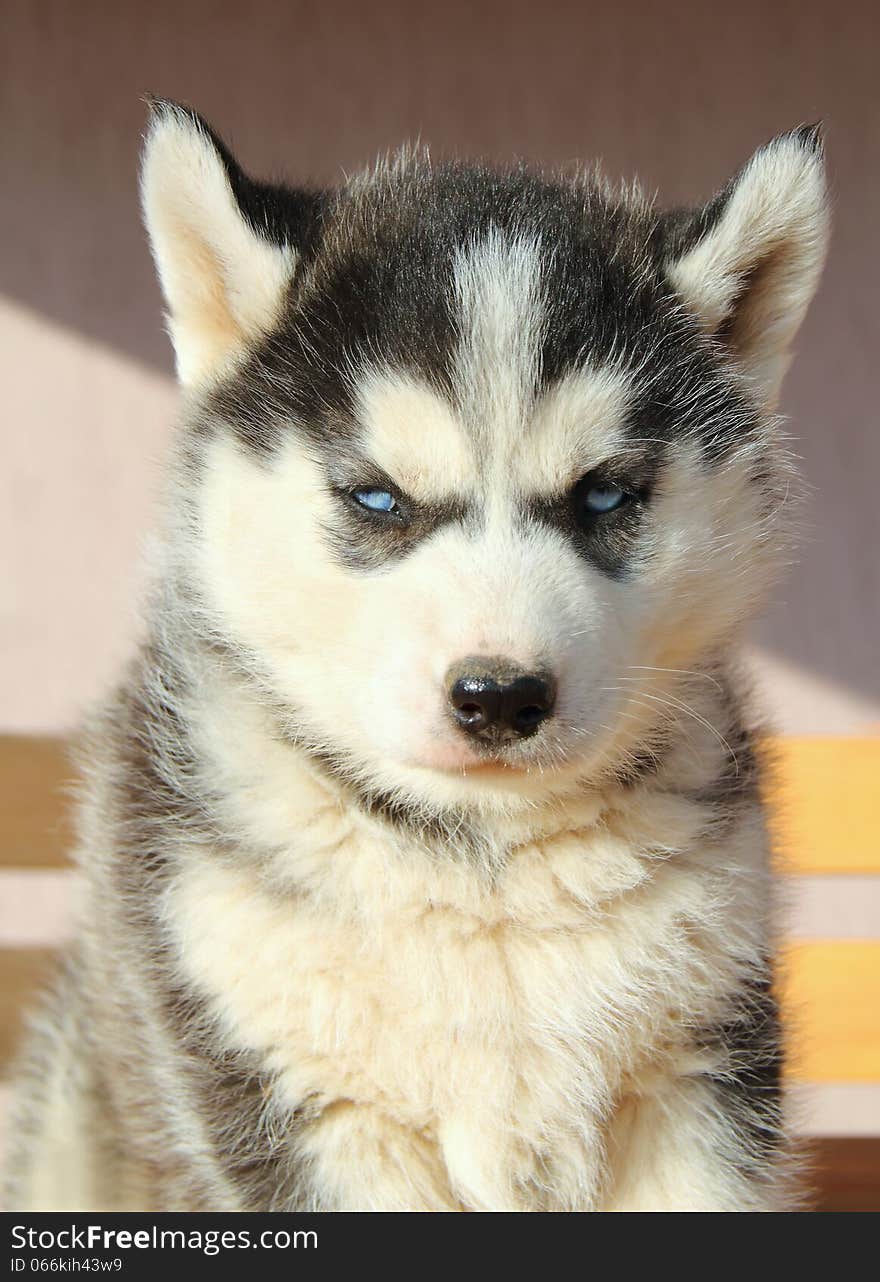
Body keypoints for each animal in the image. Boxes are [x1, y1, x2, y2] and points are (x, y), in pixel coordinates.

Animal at [3, 102, 831, 1210]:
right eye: (378, 497)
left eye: (604, 495)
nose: (500, 695)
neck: (479, 865)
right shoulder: (303, 1102)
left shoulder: (693, 1077)